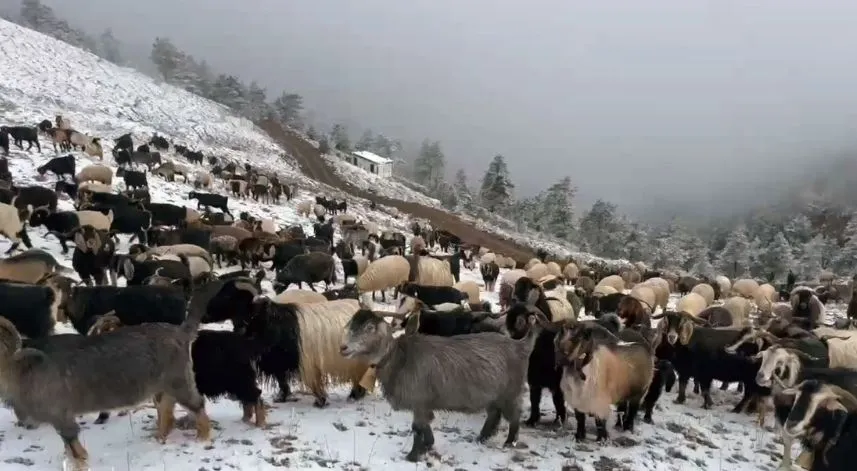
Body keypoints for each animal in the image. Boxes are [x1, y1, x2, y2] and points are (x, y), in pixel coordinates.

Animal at [0, 298, 209, 468]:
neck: (20, 368)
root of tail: (181, 332)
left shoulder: (61, 415)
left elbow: (74, 447)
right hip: (163, 388)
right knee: (167, 413)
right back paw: (159, 438)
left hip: (179, 381)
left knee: (197, 405)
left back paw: (204, 438)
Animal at [244, 298, 372, 406]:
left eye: (257, 318)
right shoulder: (280, 361)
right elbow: (282, 381)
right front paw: (282, 397)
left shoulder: (306, 363)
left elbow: (311, 383)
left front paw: (320, 401)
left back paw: (354, 396)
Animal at [340, 308, 536, 462]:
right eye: (350, 325)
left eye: (369, 327)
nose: (343, 348)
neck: (400, 358)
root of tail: (521, 345)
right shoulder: (423, 404)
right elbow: (425, 426)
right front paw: (428, 445)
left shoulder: (419, 401)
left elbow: (417, 429)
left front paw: (413, 456)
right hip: (493, 395)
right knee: (494, 414)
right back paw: (482, 438)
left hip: (510, 392)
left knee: (514, 416)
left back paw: (509, 442)